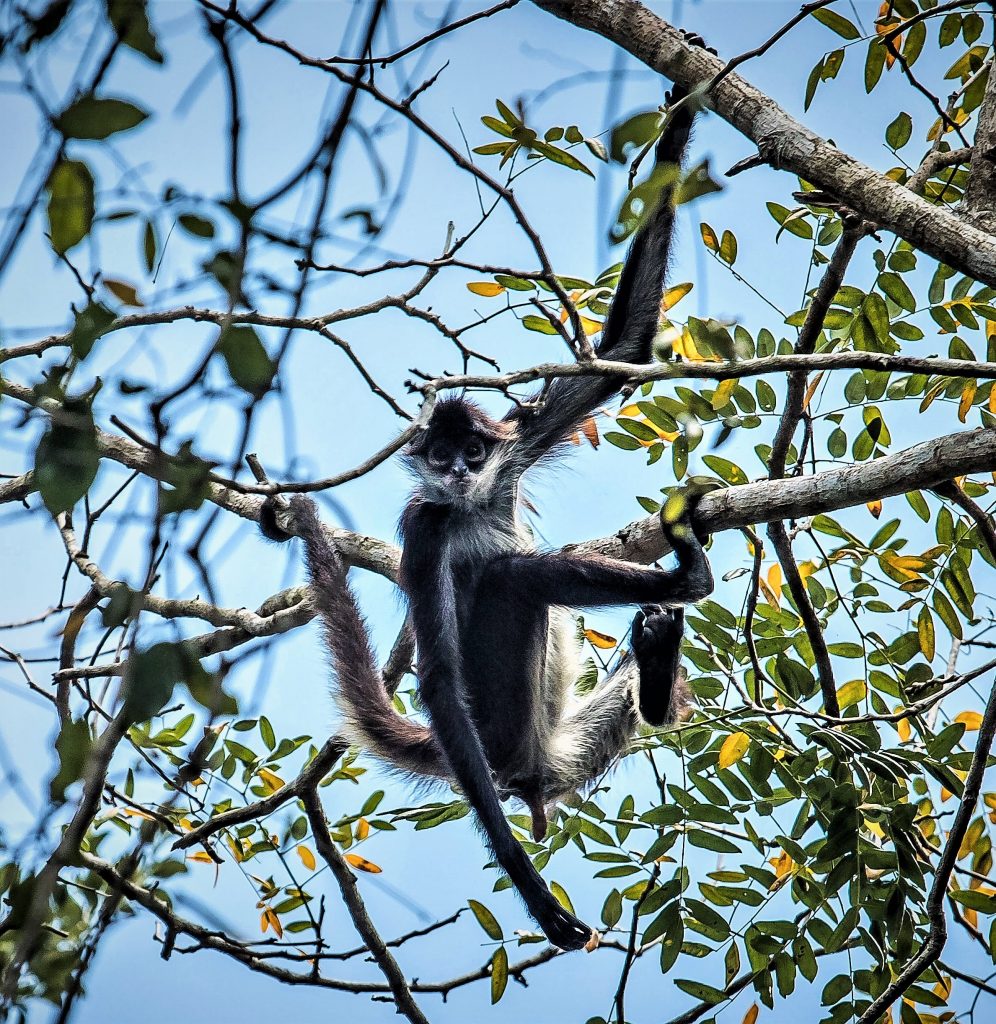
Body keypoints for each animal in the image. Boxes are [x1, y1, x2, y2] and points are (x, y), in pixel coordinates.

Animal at [260, 50, 714, 952]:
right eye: (439, 459)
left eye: (474, 452)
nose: (462, 472)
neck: (471, 507)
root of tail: (528, 771)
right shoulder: (424, 522)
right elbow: (439, 677)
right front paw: (528, 887)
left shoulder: (514, 445)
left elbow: (620, 349)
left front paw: (680, 110)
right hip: (503, 732)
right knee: (515, 578)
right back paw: (683, 585)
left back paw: (654, 672)